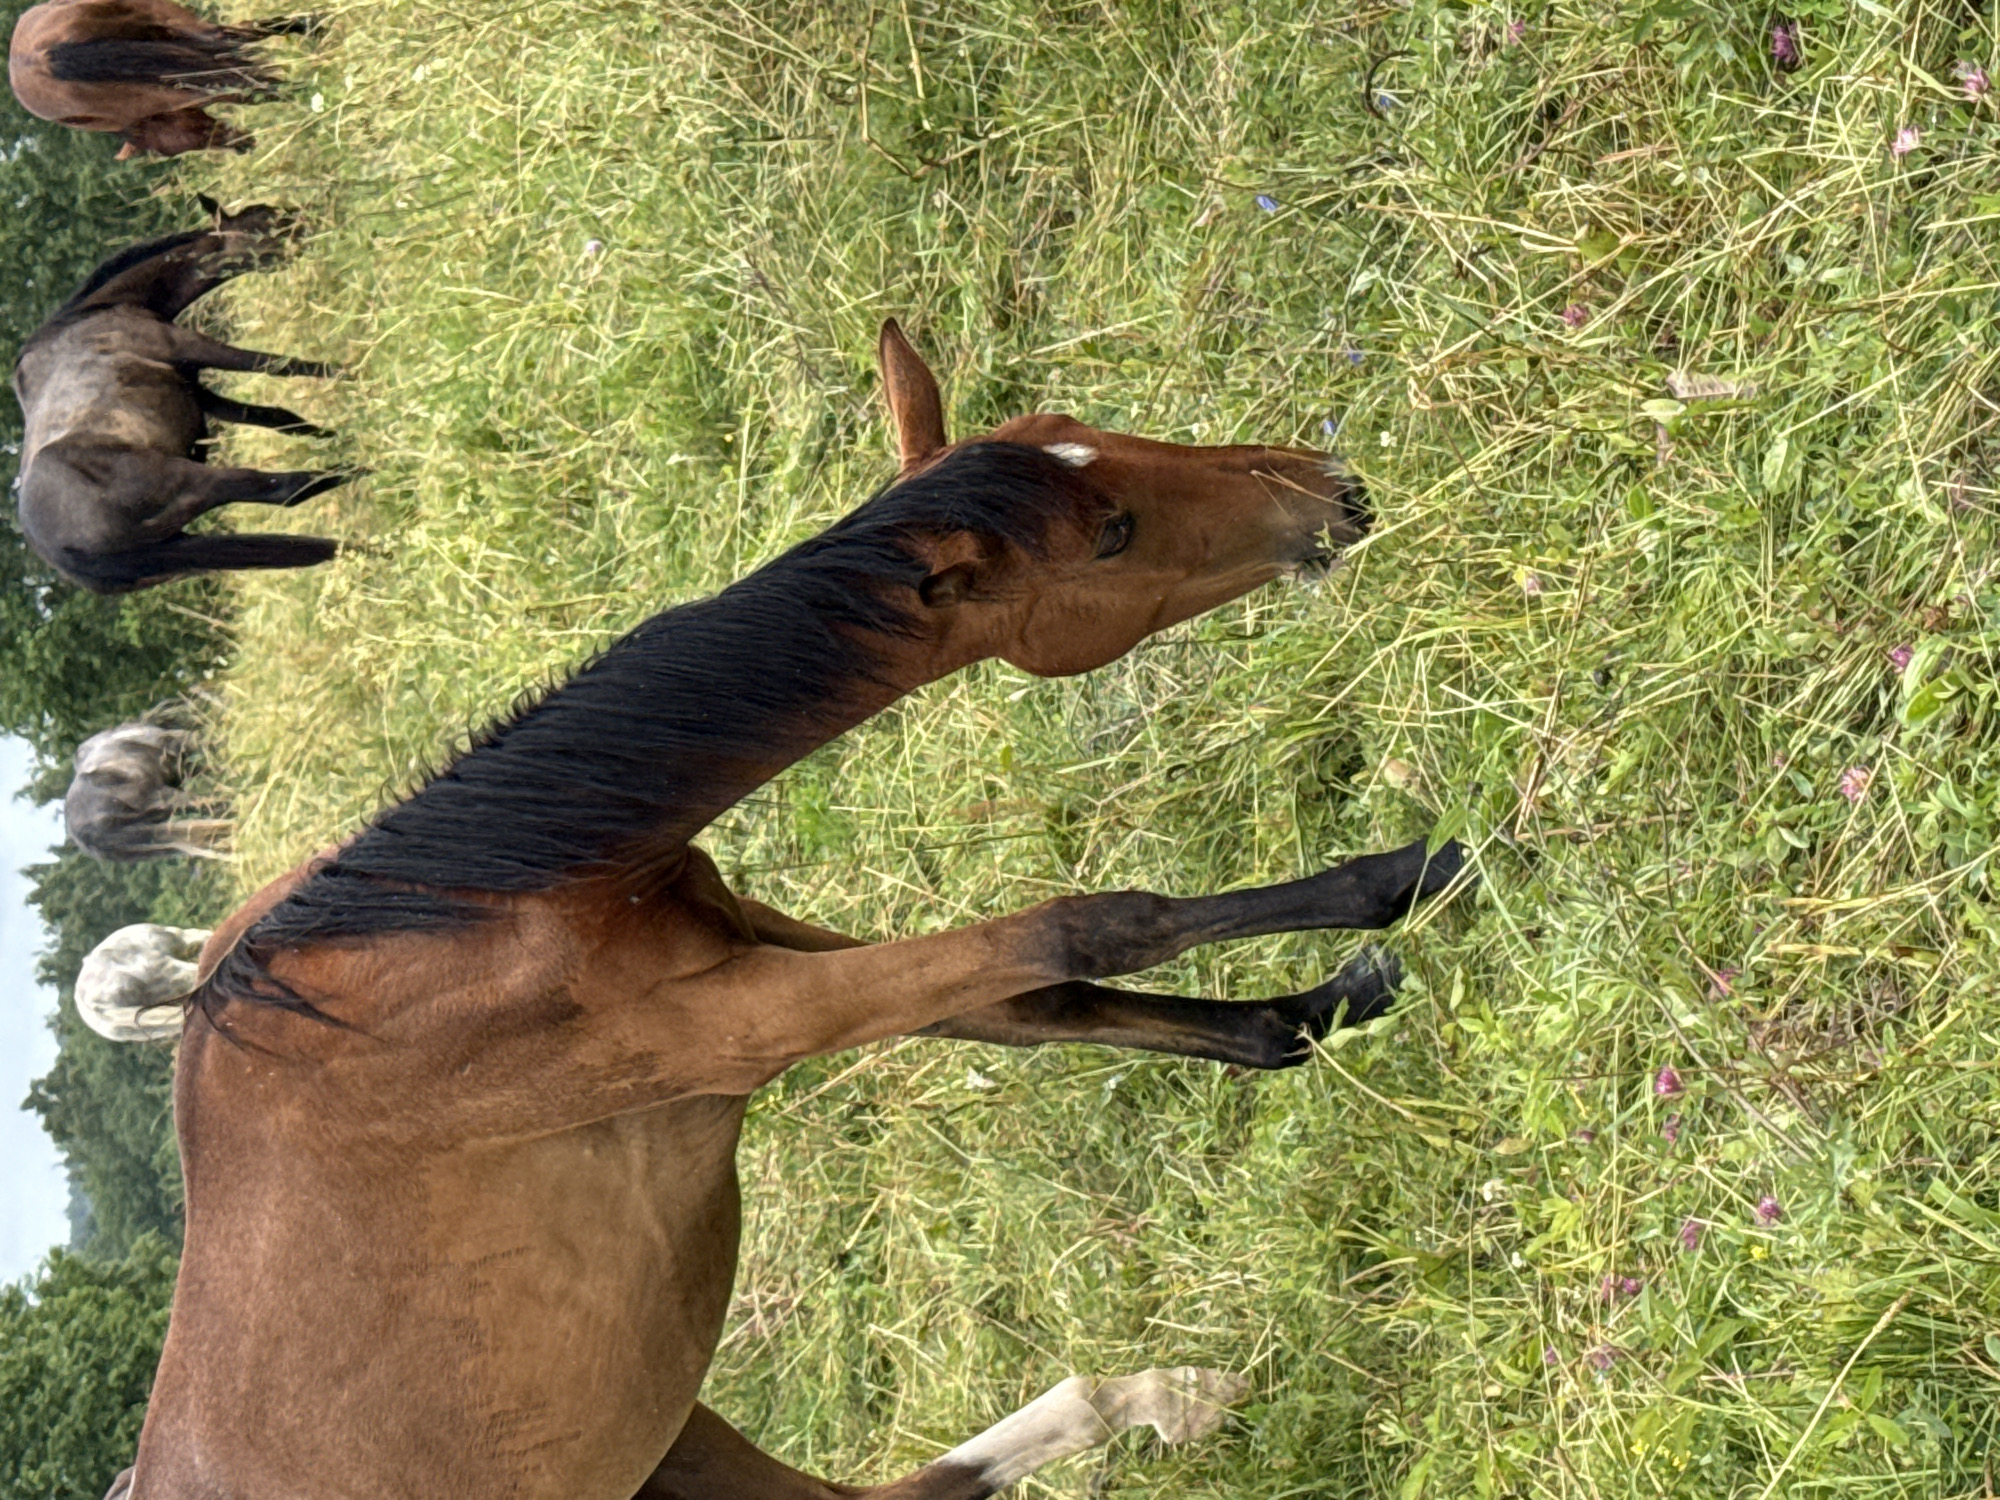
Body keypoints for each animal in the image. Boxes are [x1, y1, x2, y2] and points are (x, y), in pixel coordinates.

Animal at [12, 198, 357, 595]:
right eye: (264, 221)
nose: (316, 221)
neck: (99, 315)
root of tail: (65, 553)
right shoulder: (193, 346)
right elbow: (280, 366)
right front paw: (358, 375)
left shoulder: (196, 388)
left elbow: (280, 418)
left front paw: (337, 434)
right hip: (195, 482)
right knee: (285, 488)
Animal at [121, 320, 1468, 1500]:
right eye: (1112, 535)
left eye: (1085, 433)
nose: (1328, 486)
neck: (457, 921)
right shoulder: (749, 1020)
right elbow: (1084, 926)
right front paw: (1413, 875)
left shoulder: (756, 947)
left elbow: (1047, 999)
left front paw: (1320, 999)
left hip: (671, 1449)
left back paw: (1158, 1397)